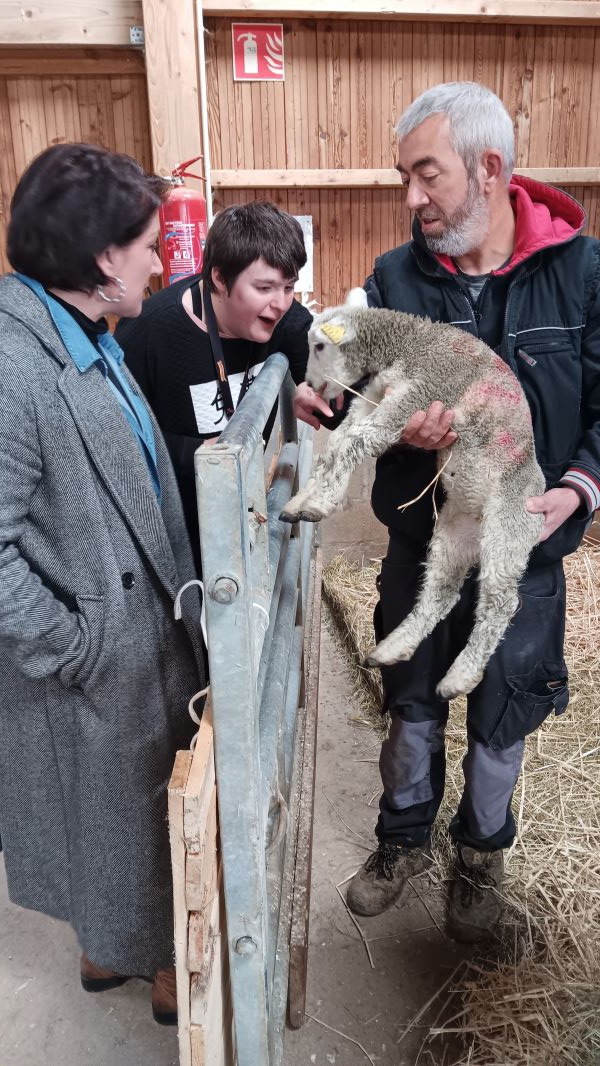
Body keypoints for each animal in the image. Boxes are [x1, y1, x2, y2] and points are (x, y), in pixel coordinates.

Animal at [281, 287, 545, 699]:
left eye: (320, 345)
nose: (311, 387)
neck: (410, 343)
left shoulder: (420, 395)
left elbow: (355, 442)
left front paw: (320, 502)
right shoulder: (376, 393)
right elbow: (338, 443)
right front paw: (301, 500)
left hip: (509, 526)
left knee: (499, 603)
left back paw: (460, 677)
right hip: (457, 531)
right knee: (443, 592)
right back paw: (392, 649)